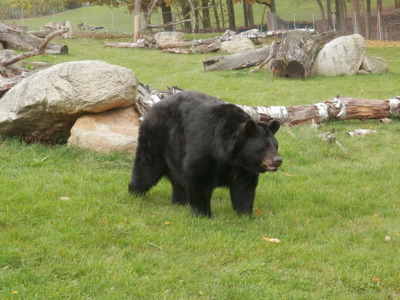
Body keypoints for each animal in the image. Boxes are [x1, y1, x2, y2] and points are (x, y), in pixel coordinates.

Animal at [128, 90, 282, 217]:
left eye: (276, 146)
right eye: (264, 146)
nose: (278, 160)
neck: (230, 156)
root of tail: (152, 109)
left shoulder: (244, 168)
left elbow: (244, 189)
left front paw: (245, 214)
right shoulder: (204, 149)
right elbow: (198, 179)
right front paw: (203, 214)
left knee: (177, 180)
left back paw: (180, 202)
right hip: (155, 139)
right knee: (147, 169)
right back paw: (135, 193)